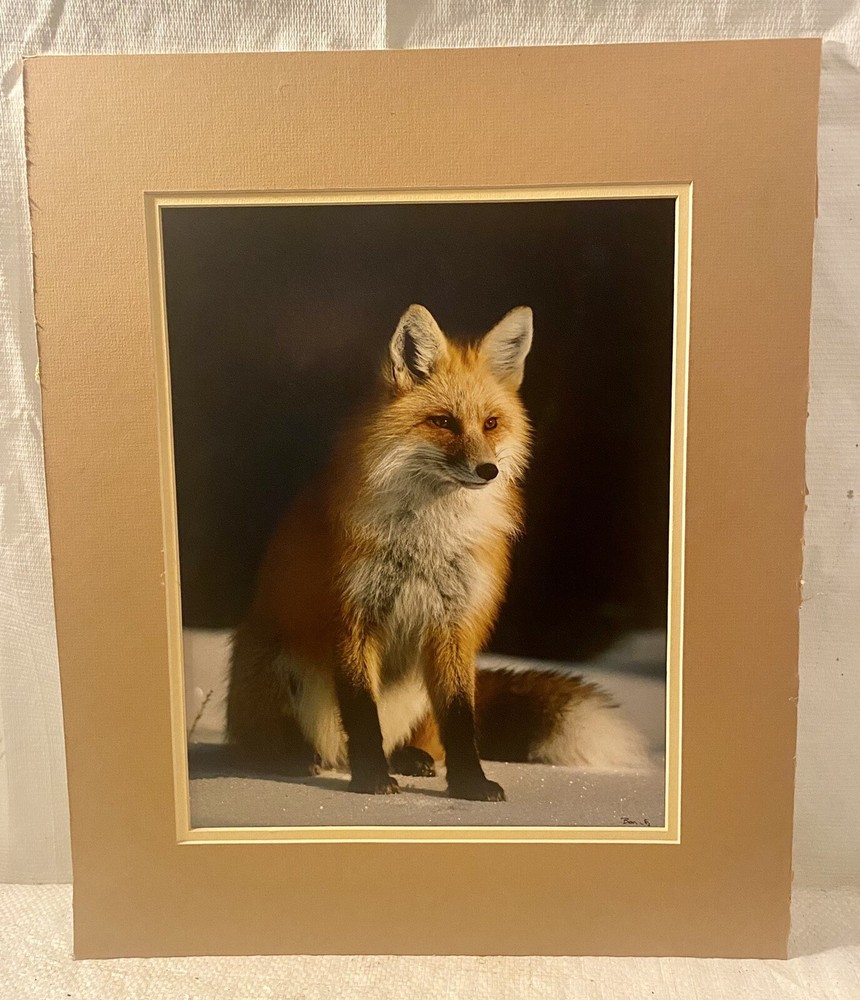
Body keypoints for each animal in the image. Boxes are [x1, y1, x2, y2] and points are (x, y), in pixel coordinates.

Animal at [226, 304, 648, 801]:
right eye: (443, 421)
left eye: (490, 423)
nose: (488, 470)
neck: (425, 541)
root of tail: (332, 756)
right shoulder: (351, 619)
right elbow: (362, 714)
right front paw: (371, 781)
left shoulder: (454, 626)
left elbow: (461, 721)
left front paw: (470, 785)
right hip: (273, 662)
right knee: (270, 744)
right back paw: (294, 758)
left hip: (416, 690)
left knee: (425, 738)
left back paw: (409, 758)